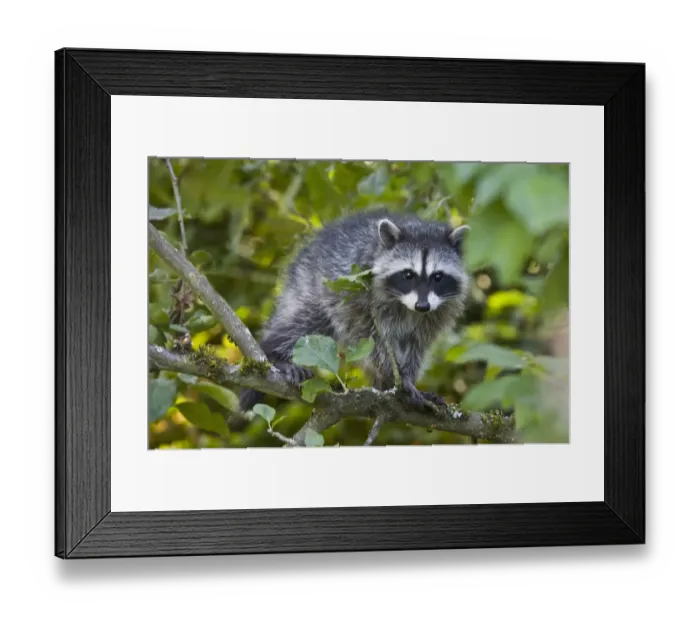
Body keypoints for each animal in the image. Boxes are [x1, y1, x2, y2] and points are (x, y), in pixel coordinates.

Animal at [238, 209, 470, 411]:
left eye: (437, 277)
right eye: (408, 275)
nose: (422, 306)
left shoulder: (436, 313)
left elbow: (416, 345)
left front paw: (406, 378)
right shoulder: (359, 295)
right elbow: (372, 339)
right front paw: (397, 377)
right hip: (313, 284)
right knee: (304, 322)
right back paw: (275, 354)